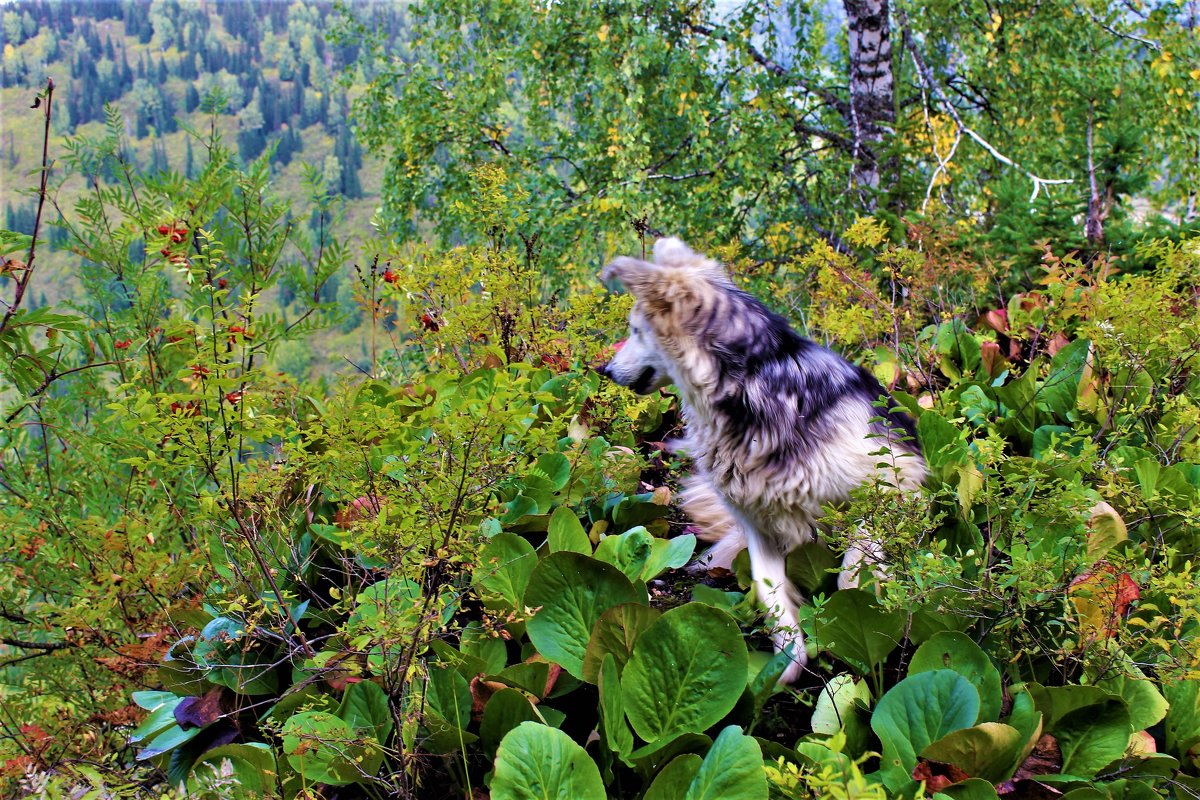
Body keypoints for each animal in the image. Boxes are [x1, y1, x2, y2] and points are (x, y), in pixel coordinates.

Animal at [600, 237, 926, 681]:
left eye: (636, 330)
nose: (605, 369)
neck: (748, 388)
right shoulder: (758, 522)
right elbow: (768, 590)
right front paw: (785, 664)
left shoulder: (900, 480)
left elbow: (852, 571)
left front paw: (867, 604)